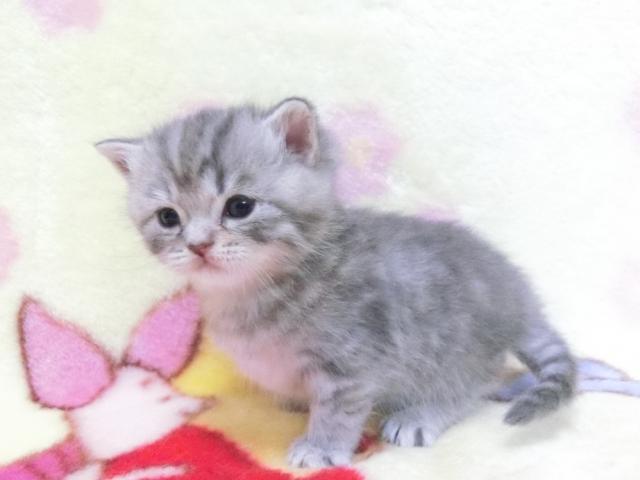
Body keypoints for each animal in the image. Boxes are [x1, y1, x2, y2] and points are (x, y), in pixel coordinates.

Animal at [96, 97, 576, 468]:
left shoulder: (353, 361)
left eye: (239, 206)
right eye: (168, 218)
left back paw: (421, 415)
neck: (254, 291)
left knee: (474, 384)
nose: (198, 245)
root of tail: (515, 291)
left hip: (459, 346)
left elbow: (338, 408)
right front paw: (298, 402)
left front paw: (322, 447)